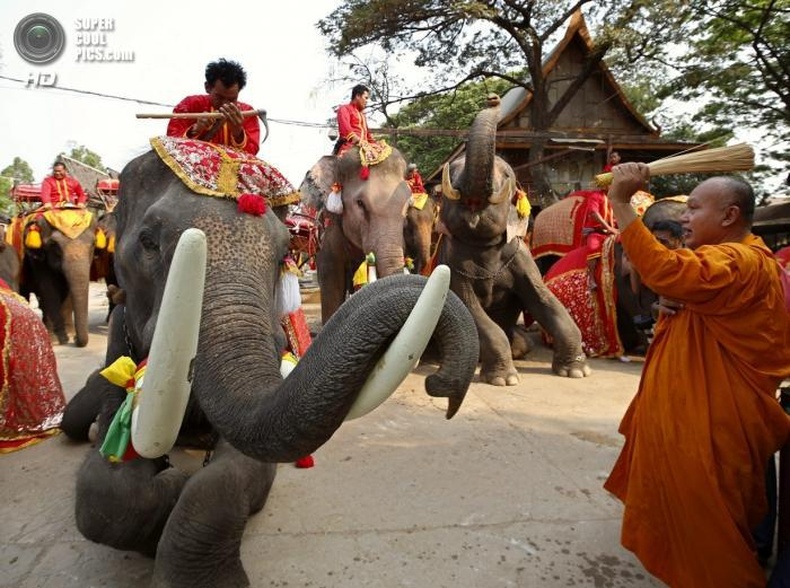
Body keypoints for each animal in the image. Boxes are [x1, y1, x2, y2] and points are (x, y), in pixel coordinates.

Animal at [20, 207, 96, 344]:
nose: (76, 340)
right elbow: (49, 288)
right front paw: (56, 340)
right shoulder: (37, 258)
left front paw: (69, 335)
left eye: (93, 243)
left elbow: (68, 290)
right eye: (54, 245)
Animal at [58, 146, 480, 588]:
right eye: (147, 242)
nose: (441, 384)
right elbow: (102, 491)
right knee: (72, 419)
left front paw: (203, 566)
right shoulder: (118, 348)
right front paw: (167, 484)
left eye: (282, 255)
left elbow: (236, 470)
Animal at [436, 95, 592, 386]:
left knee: (522, 342)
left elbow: (544, 298)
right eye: (452, 171)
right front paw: (504, 379)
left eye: (507, 176)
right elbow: (469, 308)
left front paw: (576, 371)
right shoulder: (451, 262)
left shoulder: (522, 259)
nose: (493, 98)